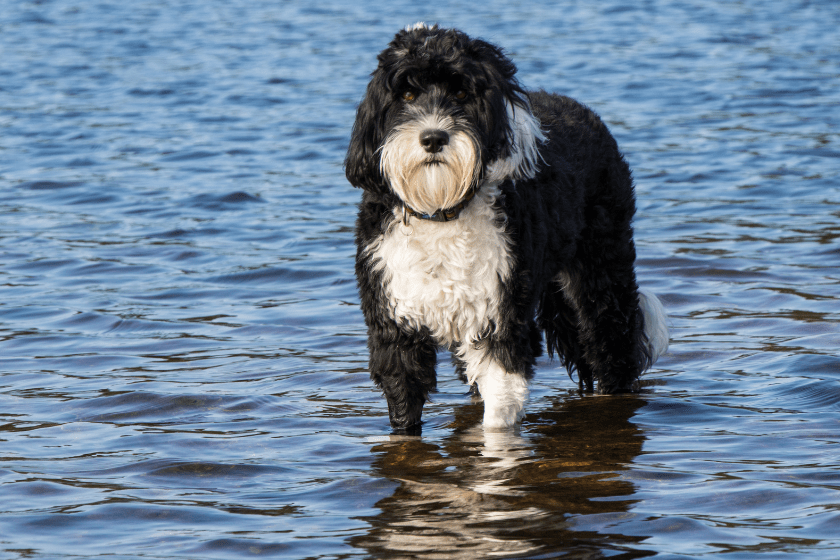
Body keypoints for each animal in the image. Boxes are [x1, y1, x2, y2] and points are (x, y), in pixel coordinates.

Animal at [344, 23, 668, 434]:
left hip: (600, 274)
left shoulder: (500, 317)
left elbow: (498, 413)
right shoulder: (396, 326)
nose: (433, 138)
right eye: (407, 94)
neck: (442, 209)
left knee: (613, 345)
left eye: (462, 93)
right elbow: (404, 405)